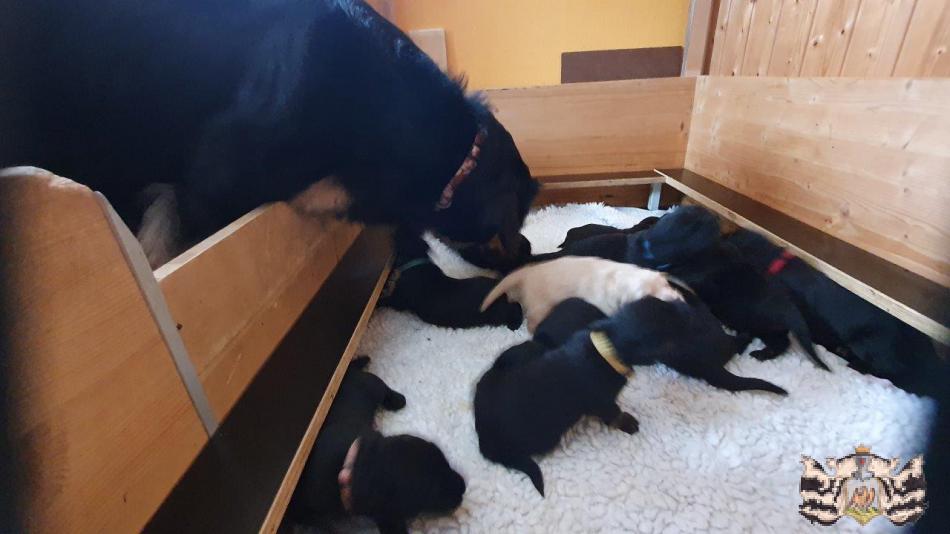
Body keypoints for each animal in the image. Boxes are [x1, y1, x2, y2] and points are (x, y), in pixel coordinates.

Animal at [288, 356, 465, 534]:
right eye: (431, 491)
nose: (463, 486)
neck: (355, 462)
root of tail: (348, 373)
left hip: (371, 386)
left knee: (384, 387)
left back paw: (397, 400)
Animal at [380, 233, 523, 329]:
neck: (418, 260)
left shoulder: (400, 299)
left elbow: (389, 300)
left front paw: (381, 299)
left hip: (498, 312)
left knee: (515, 308)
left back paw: (515, 324)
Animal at [480, 256, 683, 331]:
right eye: (649, 297)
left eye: (666, 284)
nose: (679, 300)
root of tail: (527, 273)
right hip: (541, 304)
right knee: (531, 321)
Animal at [626, 207, 829, 370]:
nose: (715, 217)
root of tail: (792, 311)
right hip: (766, 327)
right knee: (781, 341)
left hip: (761, 323)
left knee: (780, 343)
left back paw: (760, 354)